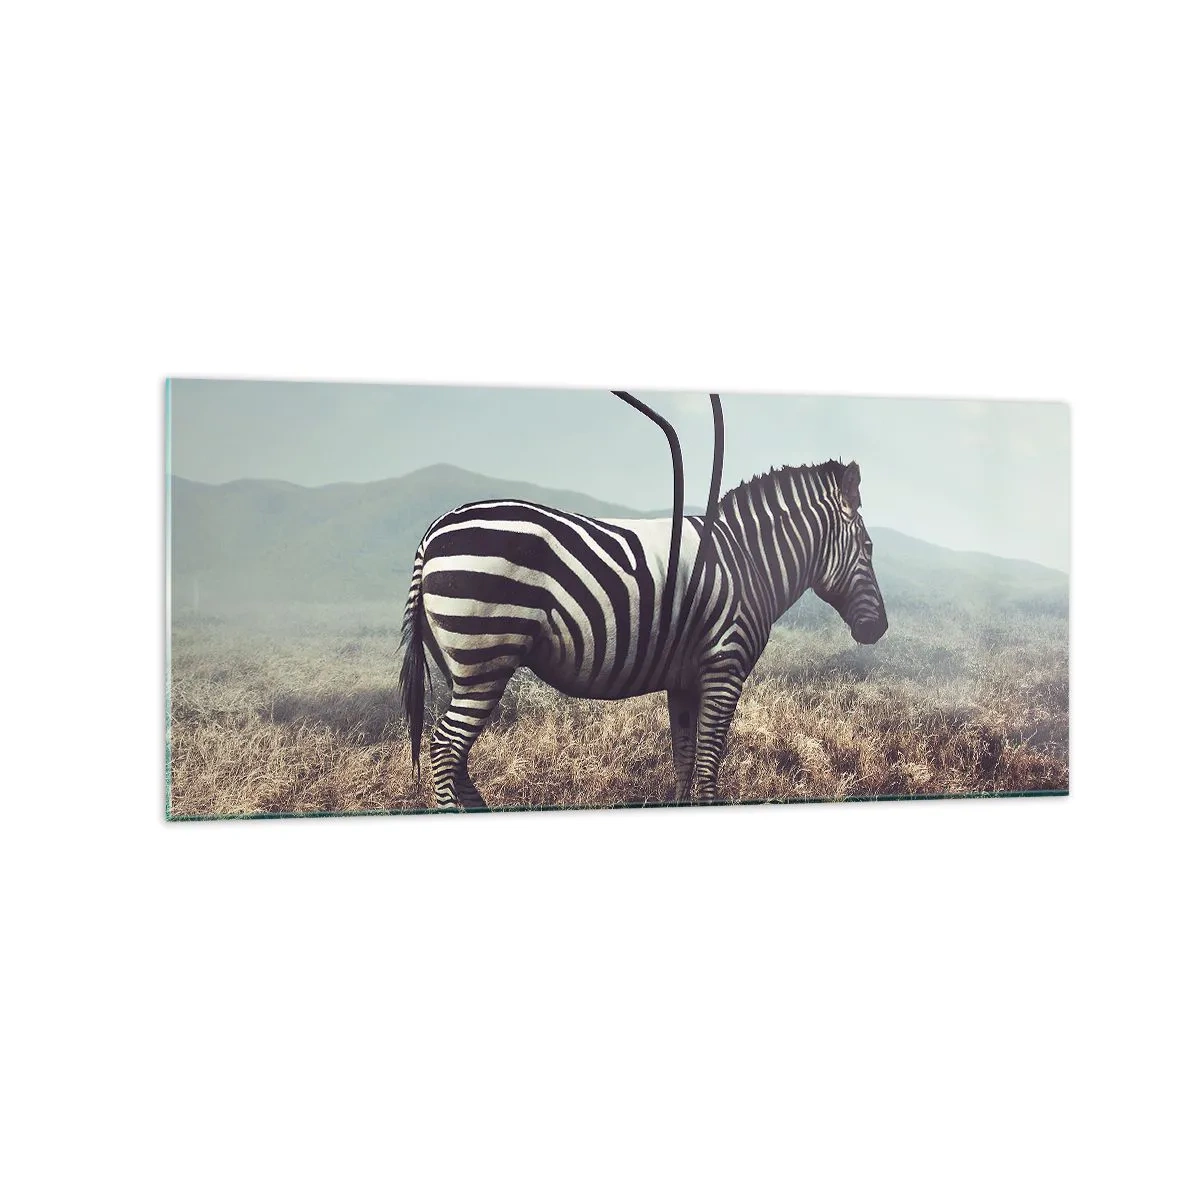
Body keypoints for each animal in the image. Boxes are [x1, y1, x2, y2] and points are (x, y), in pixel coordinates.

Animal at [398, 459, 888, 810]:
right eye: (868, 548)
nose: (879, 628)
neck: (747, 561)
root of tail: (433, 531)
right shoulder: (724, 668)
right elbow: (708, 766)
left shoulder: (685, 679)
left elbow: (685, 762)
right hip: (486, 656)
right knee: (446, 748)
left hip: (460, 667)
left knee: (456, 754)